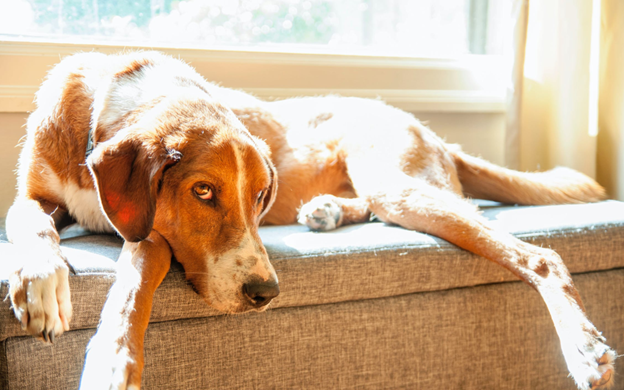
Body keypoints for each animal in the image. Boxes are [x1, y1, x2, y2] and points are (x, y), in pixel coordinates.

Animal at [4, 50, 616, 388]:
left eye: (259, 197)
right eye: (203, 191)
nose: (265, 293)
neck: (107, 111)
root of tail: (431, 130)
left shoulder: (151, 234)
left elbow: (133, 282)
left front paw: (113, 361)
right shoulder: (32, 194)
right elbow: (30, 222)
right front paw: (40, 280)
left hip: (397, 183)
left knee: (541, 254)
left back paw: (584, 349)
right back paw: (325, 210)